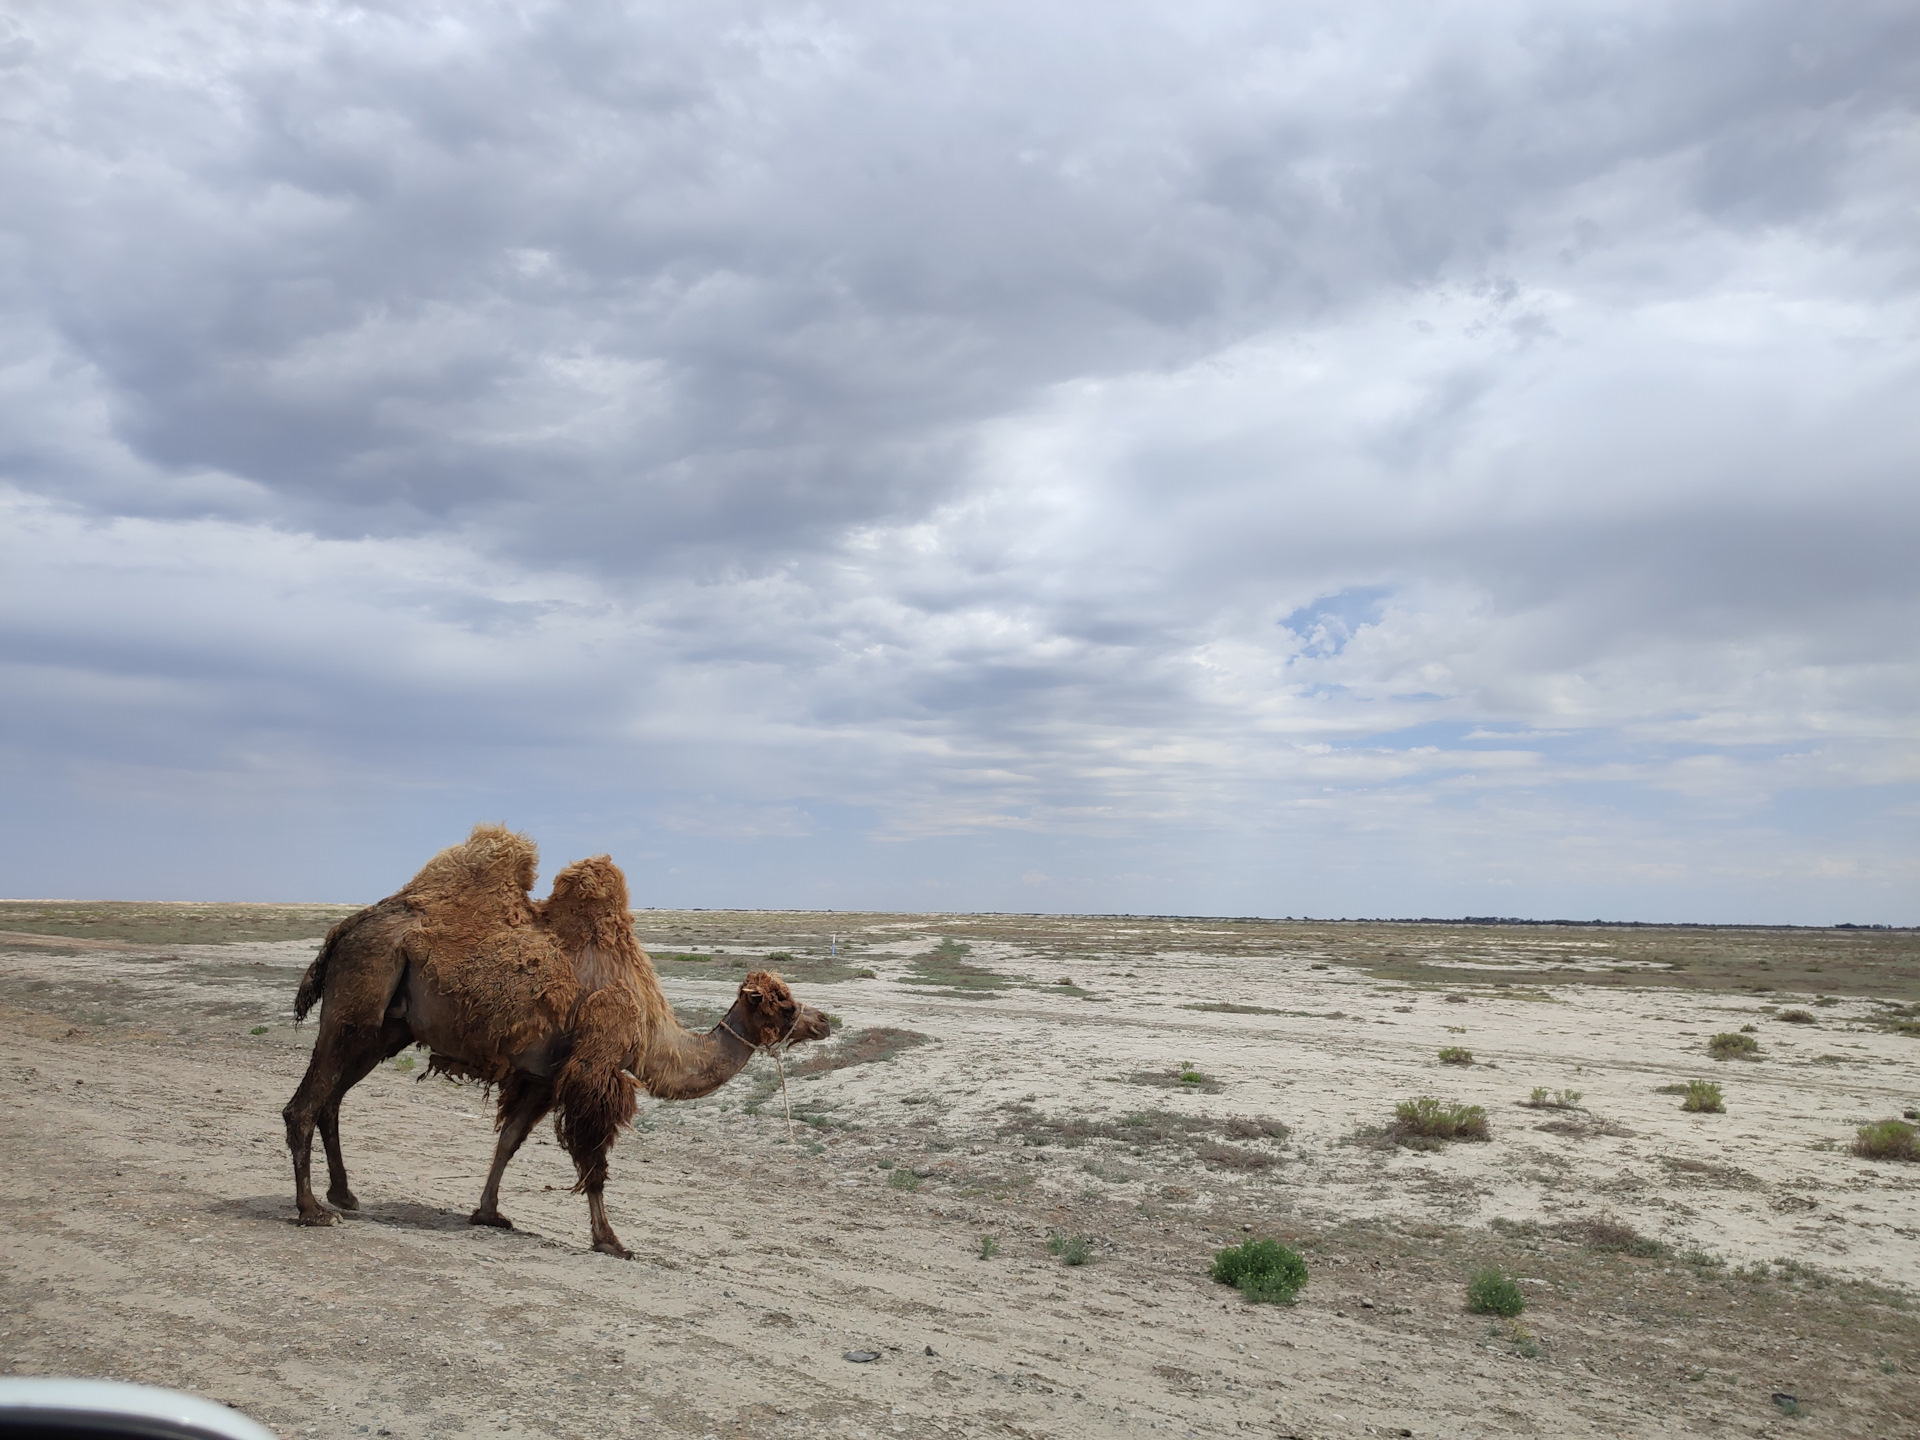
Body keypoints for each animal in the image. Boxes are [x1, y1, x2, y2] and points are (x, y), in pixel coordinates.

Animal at [280, 829, 829, 1259]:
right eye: (783, 1003)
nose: (823, 1020)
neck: (652, 1033)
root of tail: (344, 928)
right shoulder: (595, 1064)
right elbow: (595, 1162)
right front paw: (610, 1240)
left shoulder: (541, 1076)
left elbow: (508, 1141)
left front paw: (489, 1212)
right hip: (357, 1001)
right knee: (304, 1104)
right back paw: (314, 1211)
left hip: (384, 1031)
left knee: (332, 1100)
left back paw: (344, 1195)